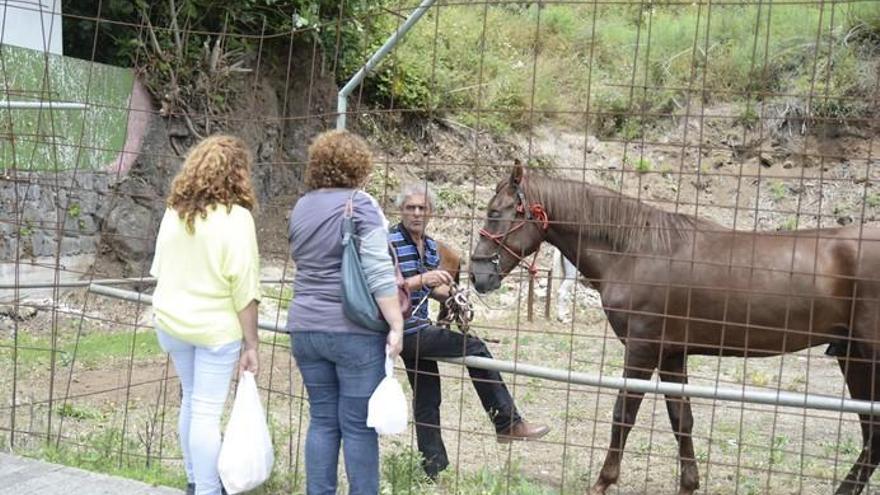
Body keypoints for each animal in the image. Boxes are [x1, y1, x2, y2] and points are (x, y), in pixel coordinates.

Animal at [470, 166, 880, 495]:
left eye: (495, 213)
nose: (478, 275)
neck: (636, 252)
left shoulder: (642, 350)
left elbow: (623, 415)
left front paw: (603, 481)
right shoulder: (671, 354)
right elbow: (681, 421)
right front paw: (688, 484)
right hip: (852, 357)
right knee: (871, 435)